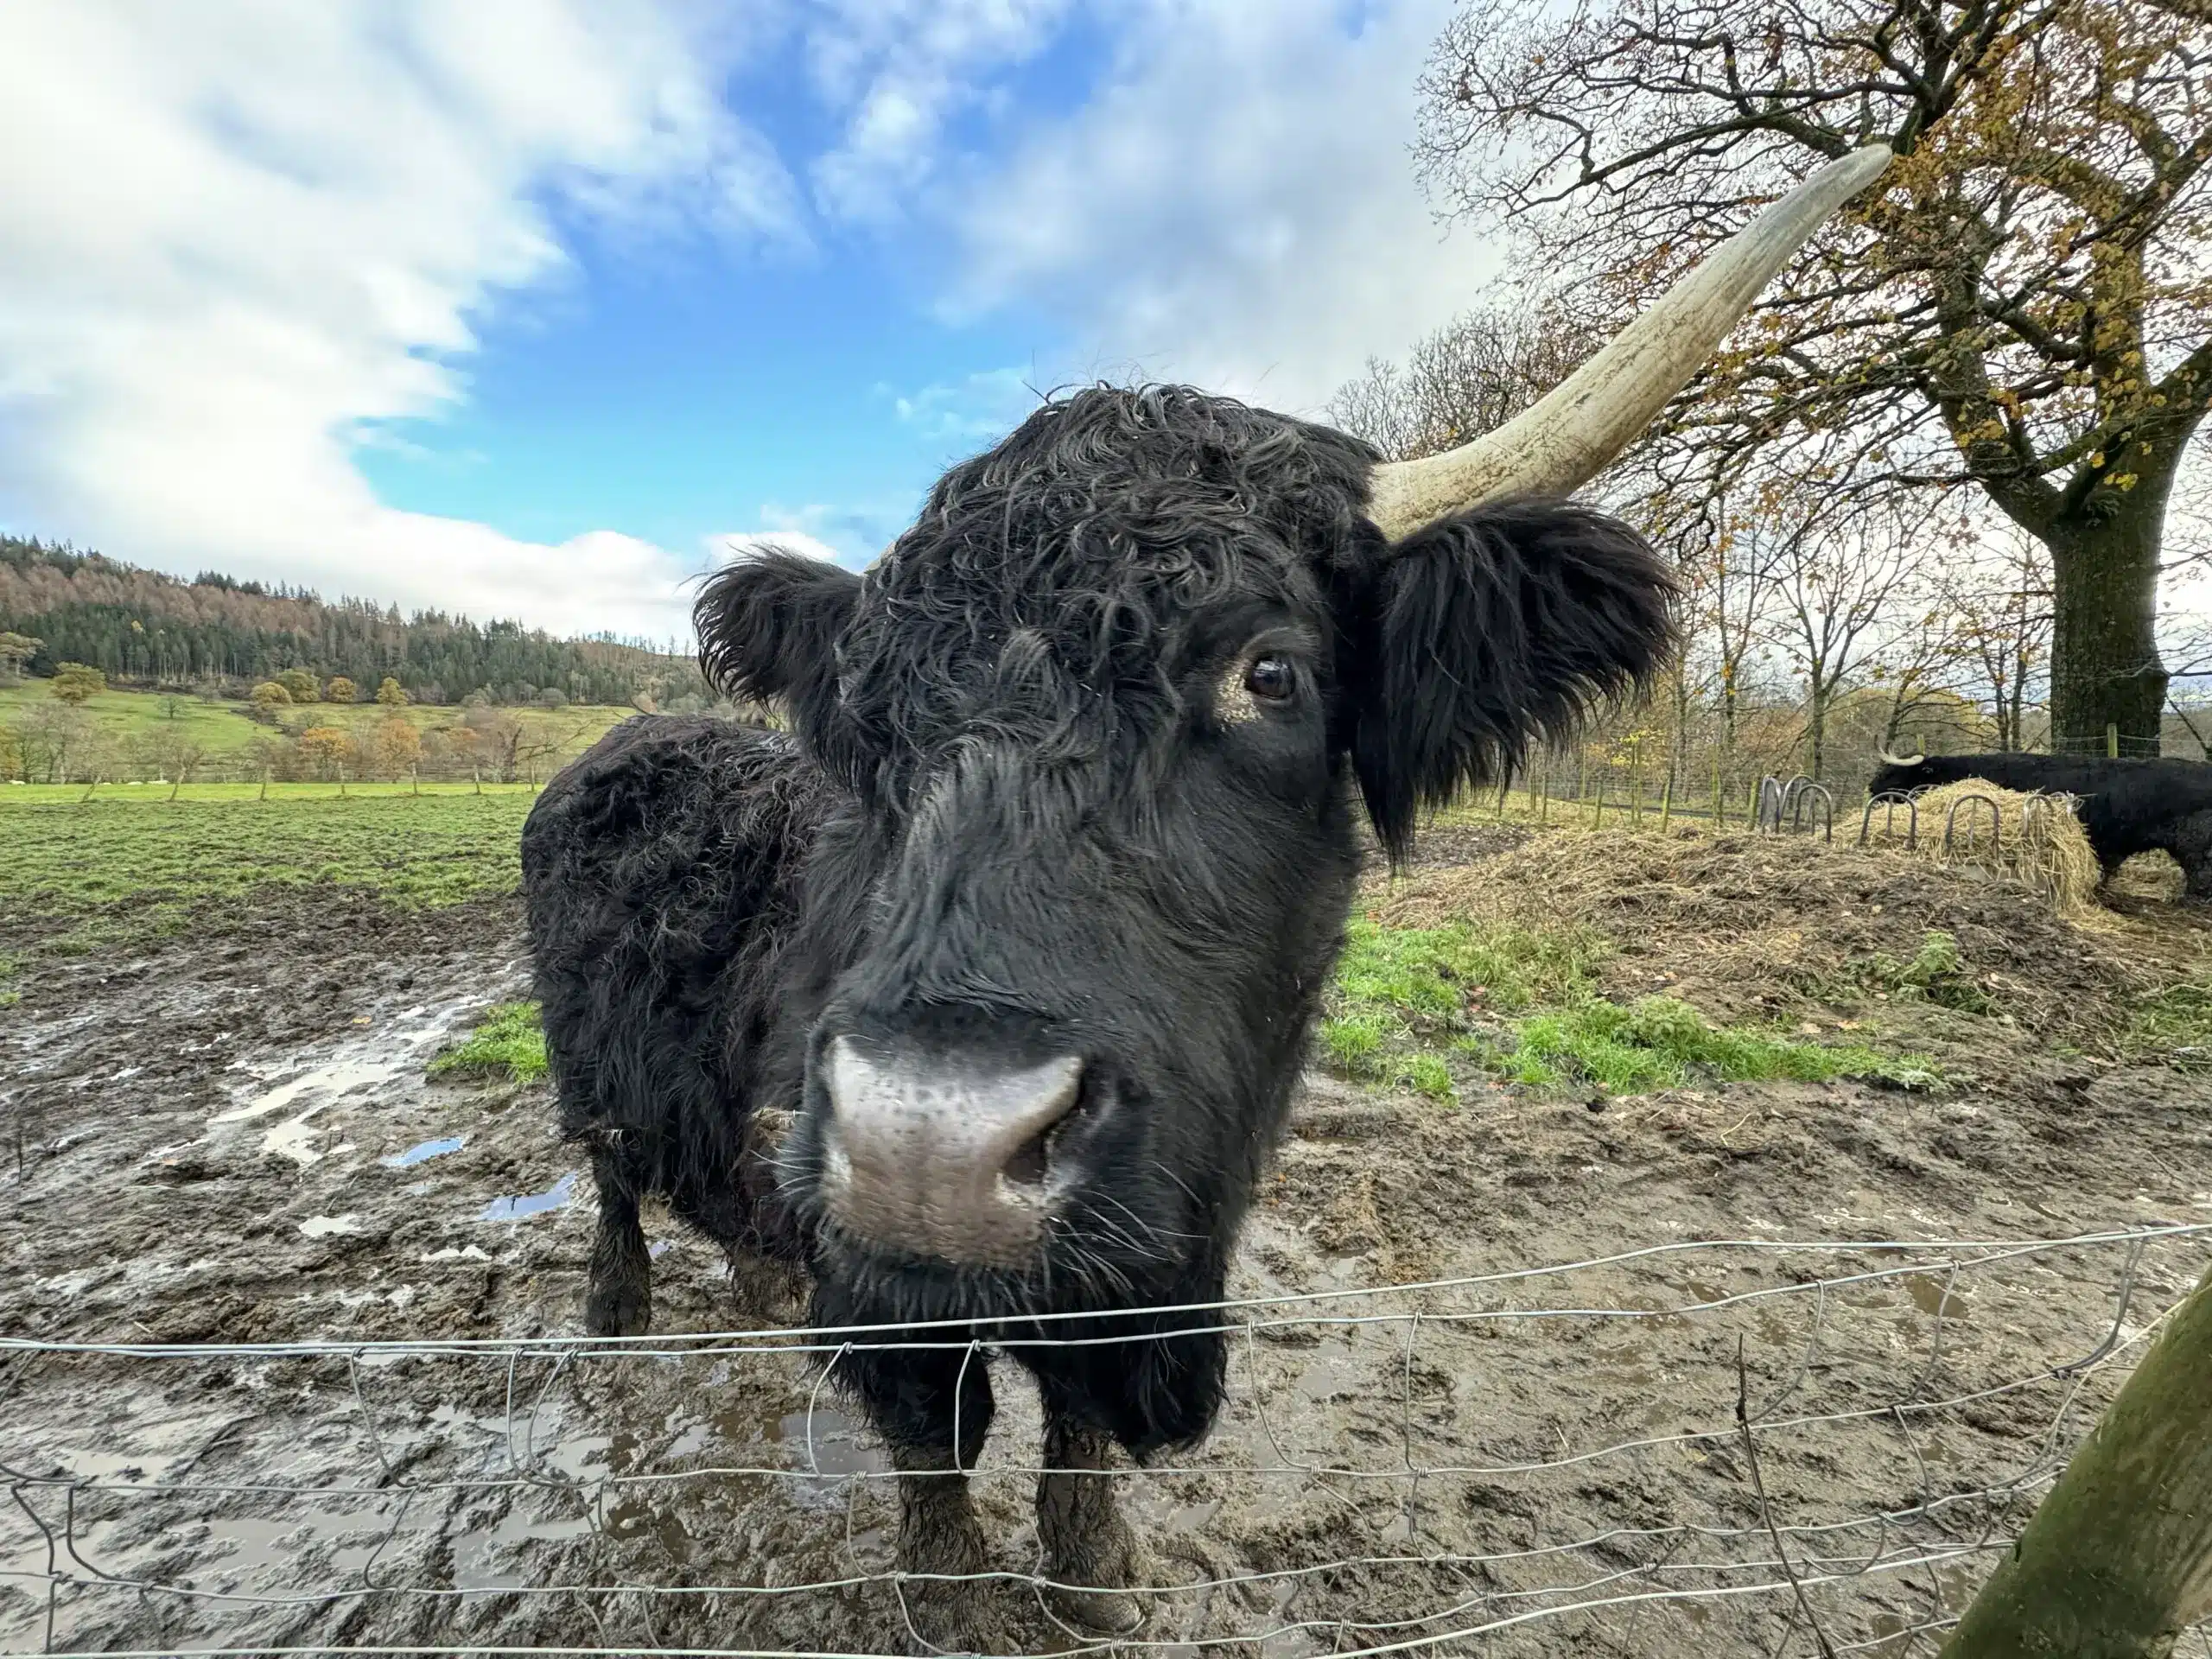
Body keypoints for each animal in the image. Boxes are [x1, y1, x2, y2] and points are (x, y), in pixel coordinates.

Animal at [521, 147, 1893, 1648]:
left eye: (1271, 672)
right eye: (869, 710)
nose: (933, 1148)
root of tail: (623, 744)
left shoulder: (1163, 1236)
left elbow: (1078, 1425)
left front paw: (1094, 1572)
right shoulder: (884, 1261)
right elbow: (937, 1422)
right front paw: (952, 1600)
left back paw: (757, 1283)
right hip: (592, 1059)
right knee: (614, 1167)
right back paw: (618, 1309)